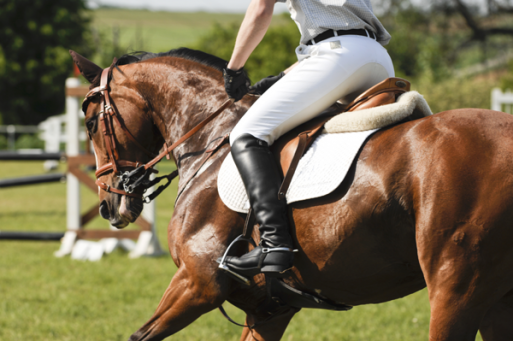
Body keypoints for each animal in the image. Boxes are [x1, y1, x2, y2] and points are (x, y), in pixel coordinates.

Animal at [71, 48, 512, 340]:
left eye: (91, 123)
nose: (109, 205)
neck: (212, 138)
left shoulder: (198, 283)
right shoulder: (269, 309)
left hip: (455, 288)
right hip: (493, 303)